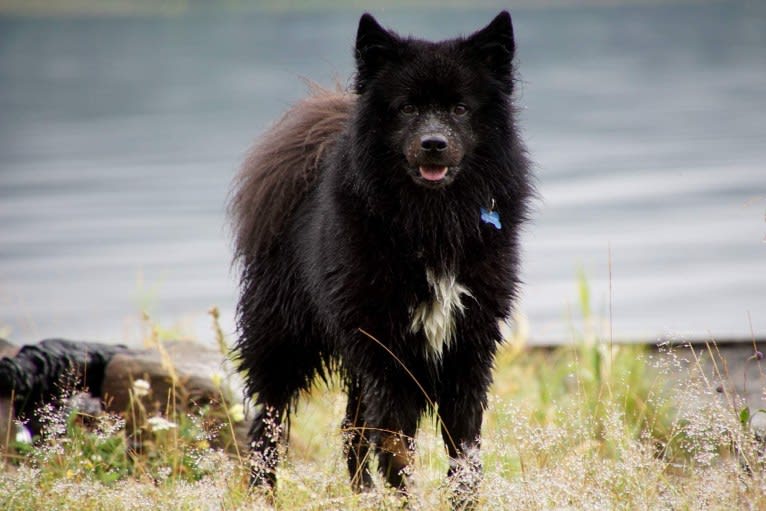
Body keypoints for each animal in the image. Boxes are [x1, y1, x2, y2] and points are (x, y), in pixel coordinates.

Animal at [230, 10, 536, 502]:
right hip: (285, 341)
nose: (434, 143)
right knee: (267, 426)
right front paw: (403, 500)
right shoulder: (388, 356)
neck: (432, 223)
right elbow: (396, 447)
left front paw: (458, 501)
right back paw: (264, 494)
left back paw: (363, 496)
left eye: (460, 109)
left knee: (350, 431)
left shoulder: (467, 349)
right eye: (407, 108)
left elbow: (464, 452)